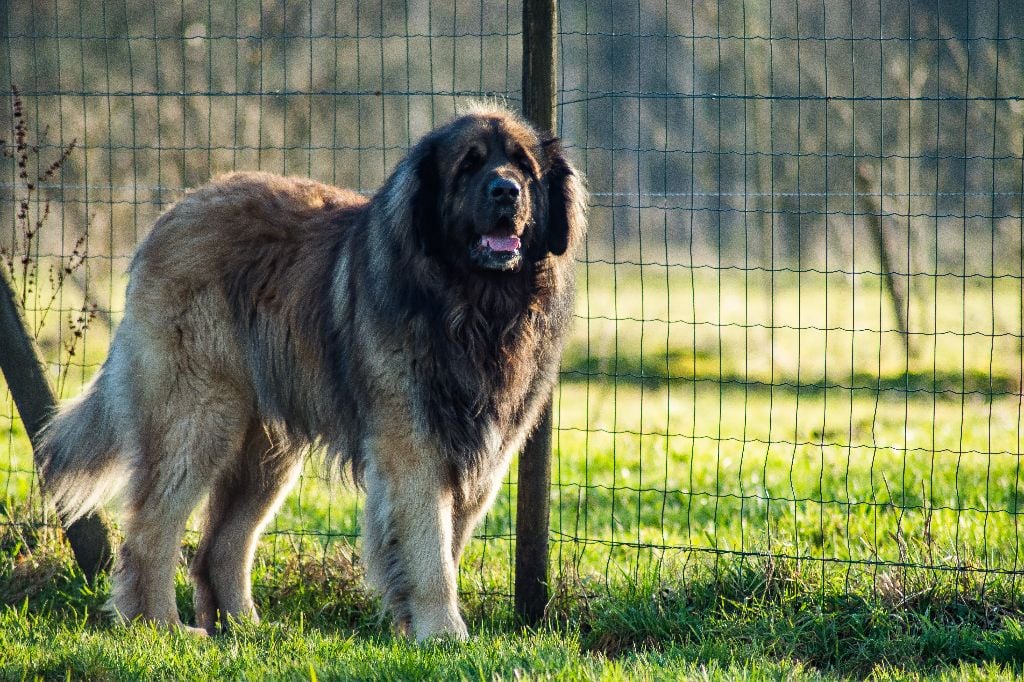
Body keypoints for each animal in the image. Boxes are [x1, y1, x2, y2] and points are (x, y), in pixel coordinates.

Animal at [37, 104, 585, 638]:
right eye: (468, 166)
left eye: (524, 167)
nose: (506, 190)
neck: (475, 308)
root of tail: (173, 213)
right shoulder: (413, 448)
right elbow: (430, 551)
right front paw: (443, 634)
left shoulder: (482, 455)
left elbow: (447, 545)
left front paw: (418, 627)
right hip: (196, 418)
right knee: (152, 531)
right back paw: (162, 628)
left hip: (265, 448)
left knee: (221, 545)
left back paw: (245, 629)